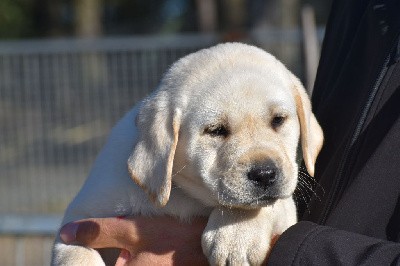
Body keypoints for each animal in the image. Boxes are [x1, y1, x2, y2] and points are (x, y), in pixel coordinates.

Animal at [51, 42, 324, 264]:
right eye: (215, 130)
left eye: (278, 120)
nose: (265, 174)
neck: (185, 195)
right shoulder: (78, 220)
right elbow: (76, 254)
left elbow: (273, 204)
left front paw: (236, 236)